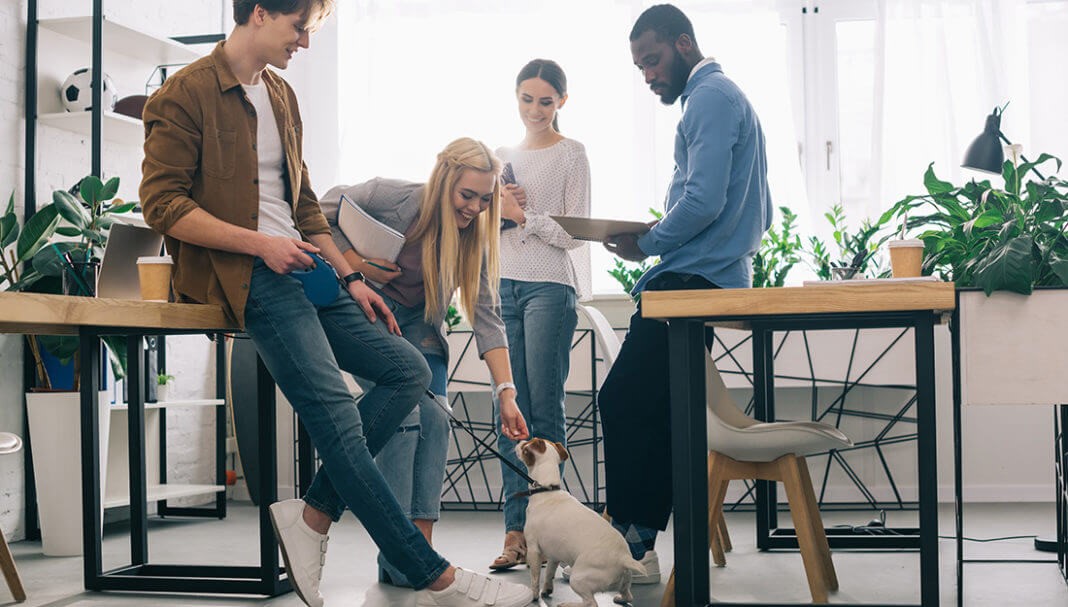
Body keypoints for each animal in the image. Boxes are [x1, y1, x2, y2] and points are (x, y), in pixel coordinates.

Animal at [514, 438, 640, 602]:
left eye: (525, 445)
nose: (520, 439)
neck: (546, 489)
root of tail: (623, 558)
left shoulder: (534, 550)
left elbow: (535, 578)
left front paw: (534, 596)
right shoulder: (554, 555)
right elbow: (549, 573)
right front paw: (547, 589)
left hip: (578, 579)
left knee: (591, 603)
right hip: (625, 581)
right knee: (627, 595)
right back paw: (620, 598)